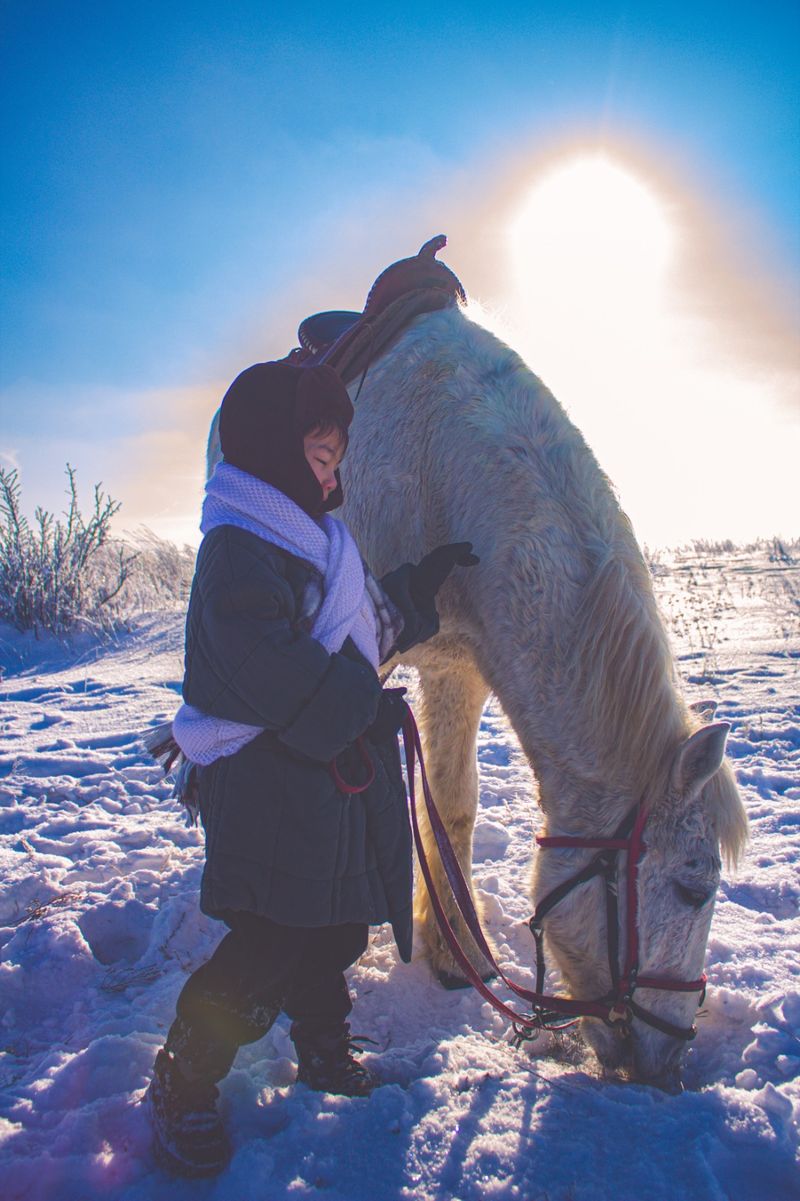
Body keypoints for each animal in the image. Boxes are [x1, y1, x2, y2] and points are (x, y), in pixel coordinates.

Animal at [207, 299, 748, 1091]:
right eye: (692, 887)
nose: (670, 1064)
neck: (449, 475)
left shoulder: (460, 670)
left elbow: (453, 806)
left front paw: (451, 950)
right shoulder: (354, 657)